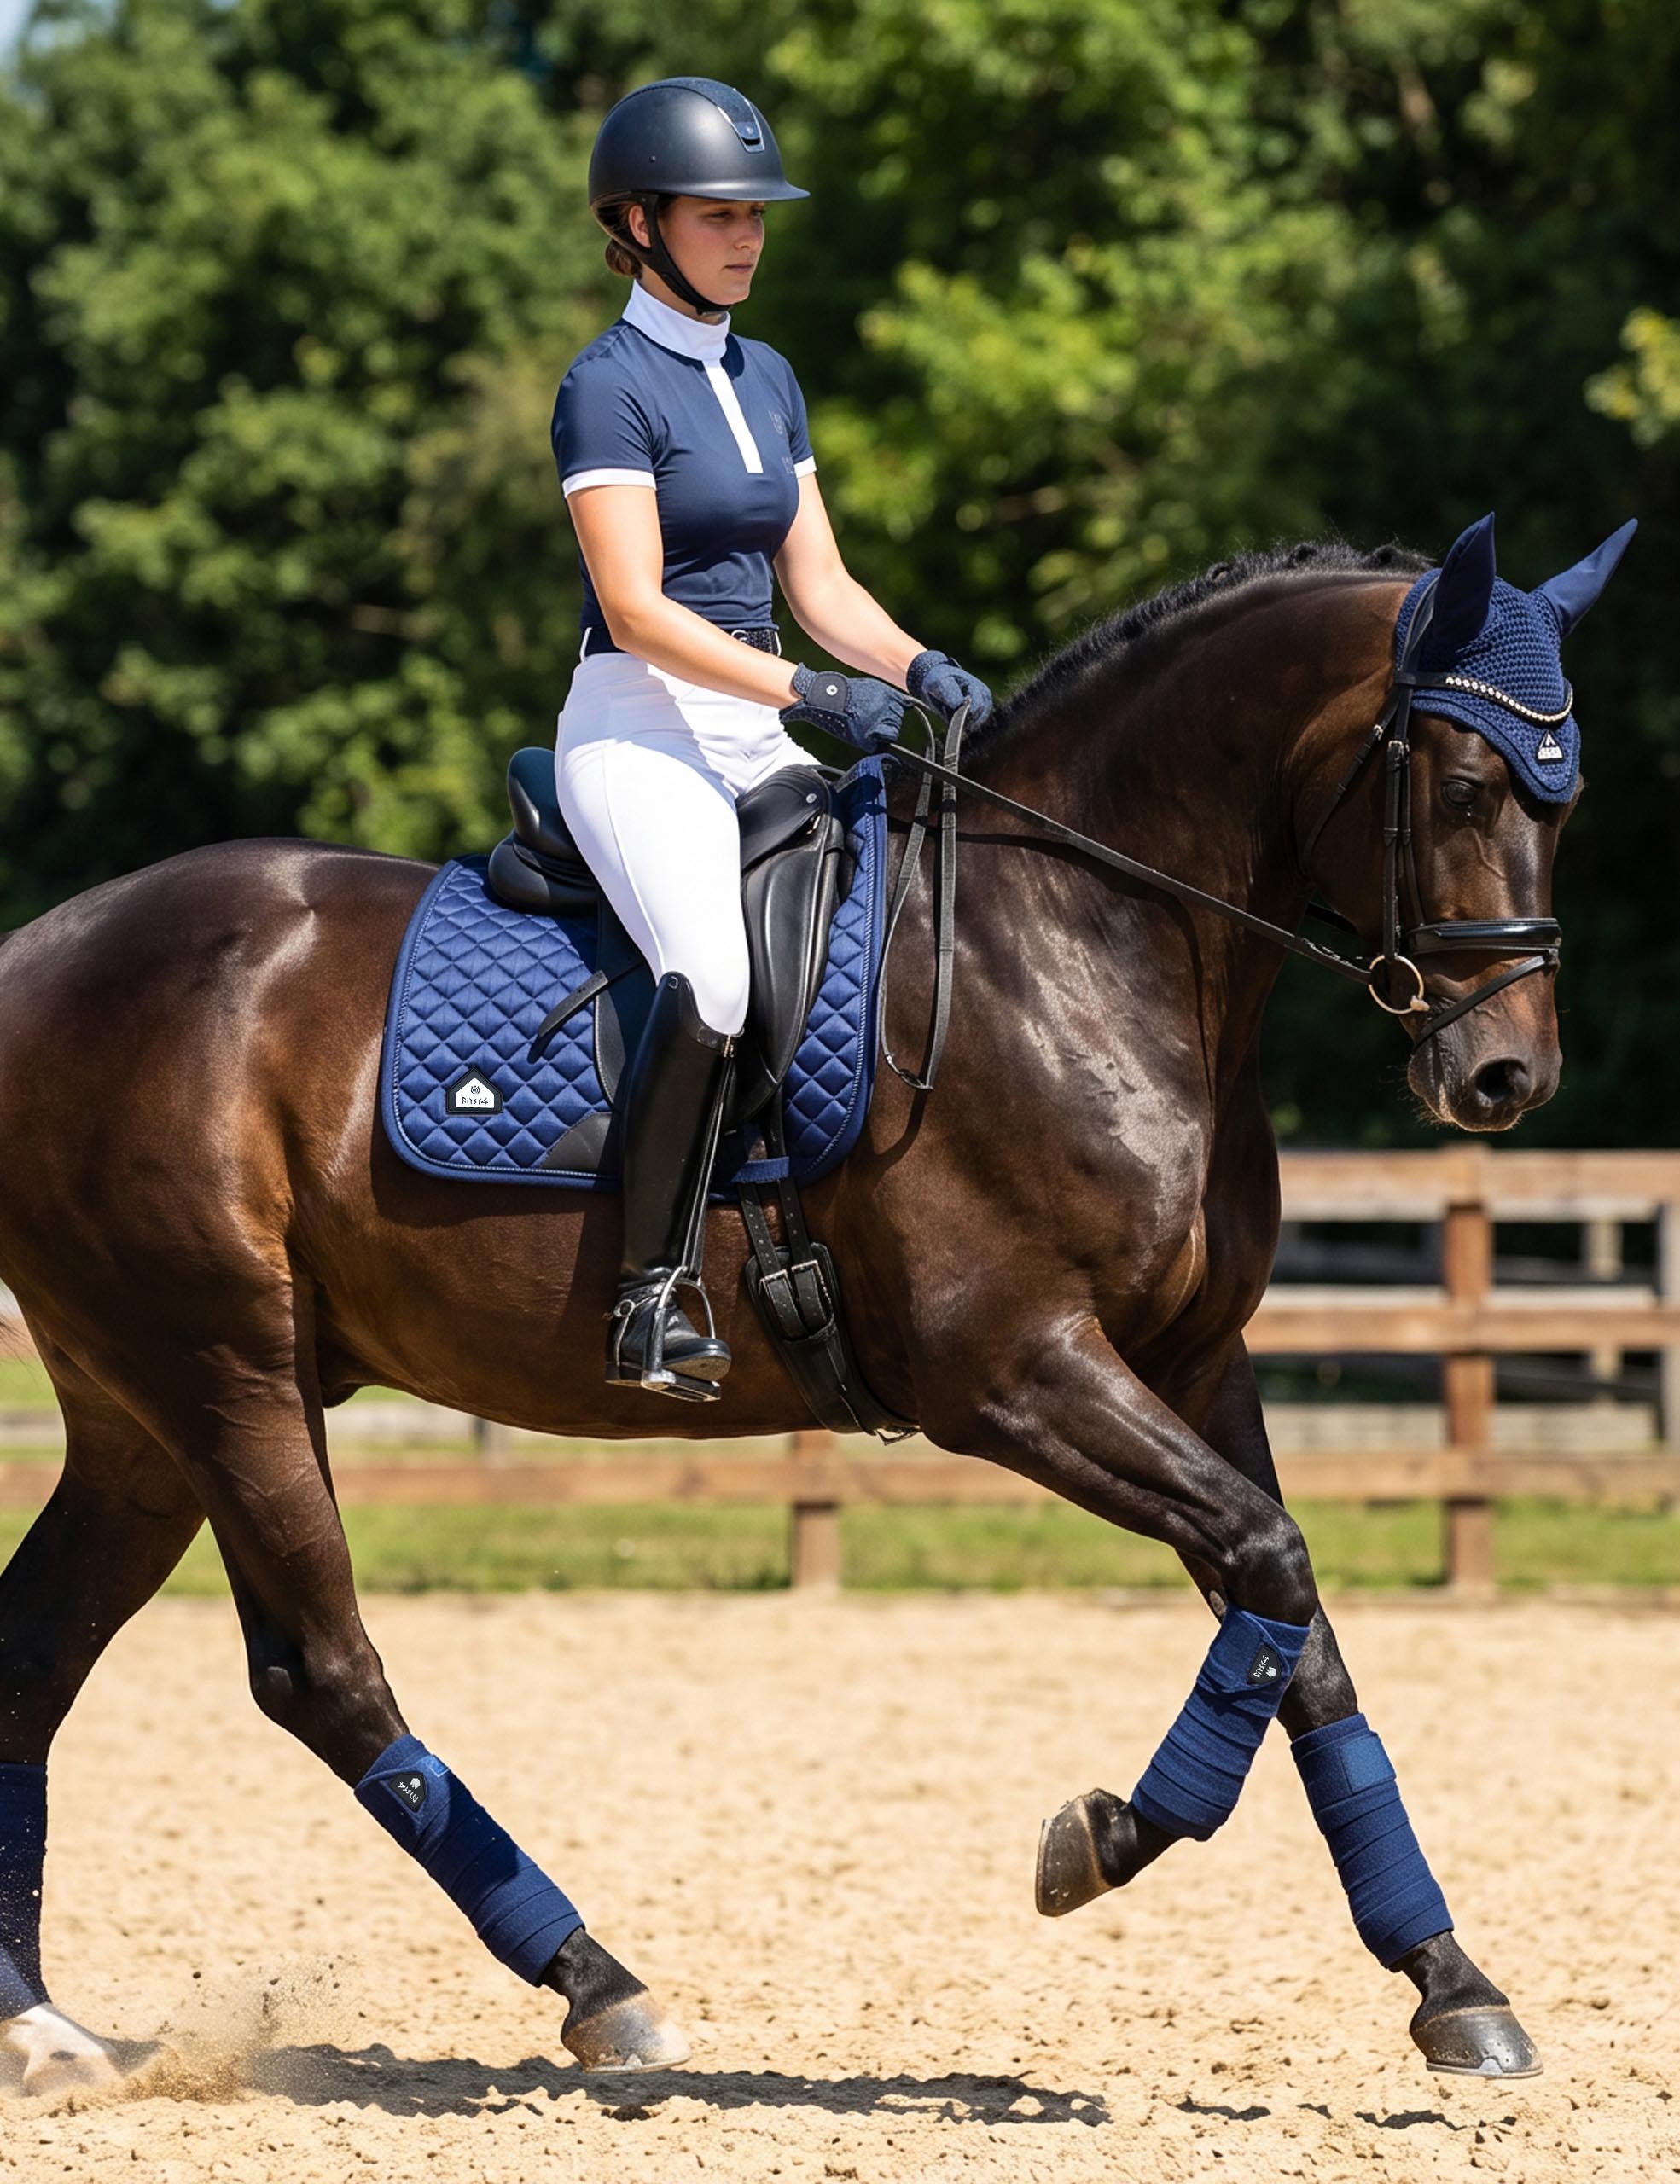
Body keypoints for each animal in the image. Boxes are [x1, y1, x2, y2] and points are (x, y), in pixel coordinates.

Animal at [0, 516, 1624, 2095]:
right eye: (1466, 787)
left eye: (1562, 806)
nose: (1504, 1076)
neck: (1070, 943)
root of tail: (39, 950)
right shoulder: (1012, 1372)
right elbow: (1267, 1570)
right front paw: (1100, 1841)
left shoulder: (1192, 1361)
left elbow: (1292, 1618)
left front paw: (1450, 1985)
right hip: (227, 1378)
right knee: (324, 1676)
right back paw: (599, 1987)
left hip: (144, 1421)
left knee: (38, 1659)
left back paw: (44, 2031)